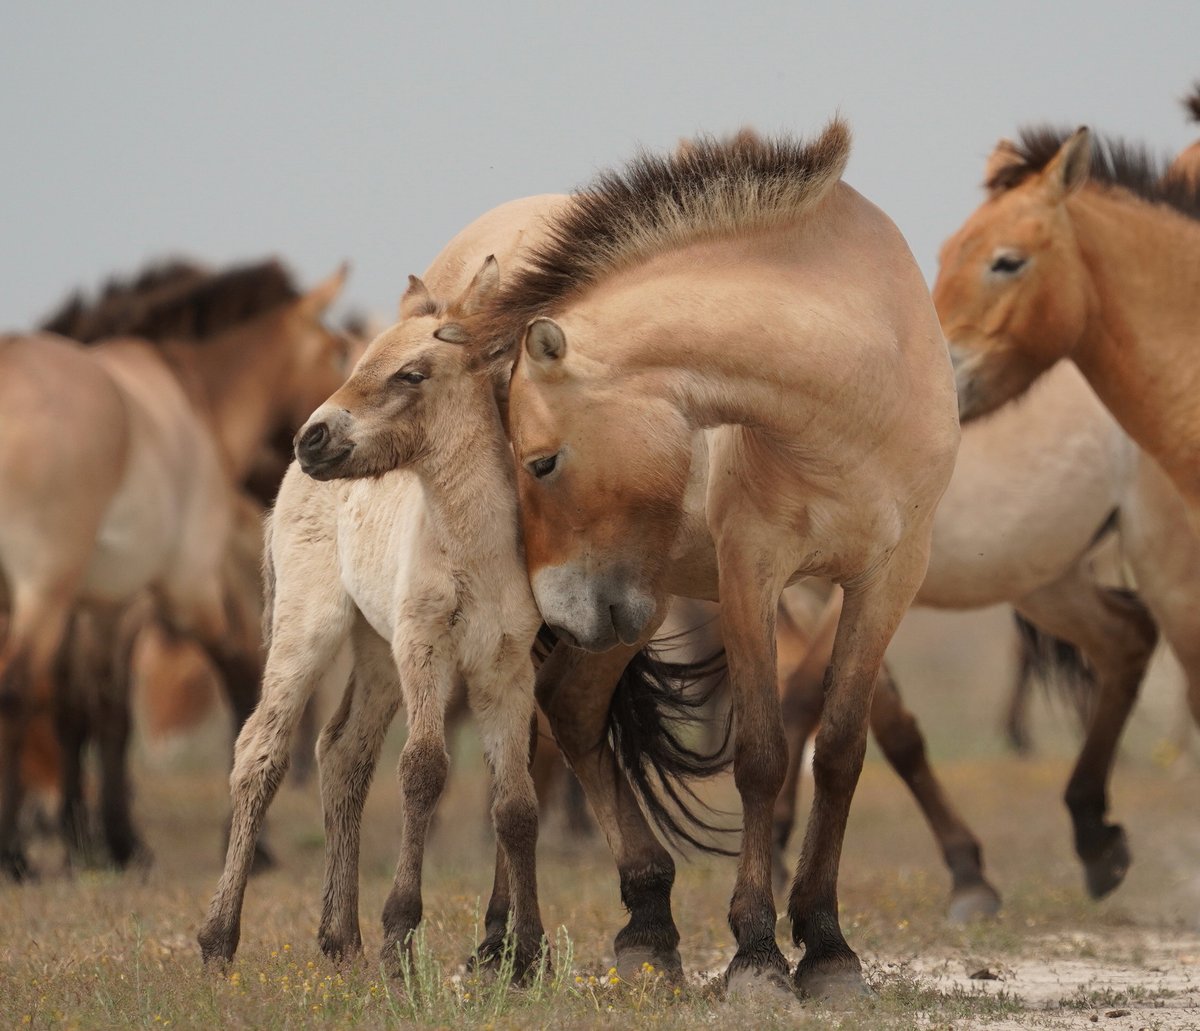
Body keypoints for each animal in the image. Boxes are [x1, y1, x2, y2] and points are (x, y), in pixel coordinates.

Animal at [199, 258, 551, 972]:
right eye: (358, 360)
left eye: (411, 374)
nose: (312, 438)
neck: (473, 551)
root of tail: (287, 483)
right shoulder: (424, 647)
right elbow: (423, 771)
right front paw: (399, 935)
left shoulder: (506, 667)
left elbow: (517, 804)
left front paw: (525, 956)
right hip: (310, 630)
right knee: (260, 754)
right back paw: (220, 939)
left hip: (375, 652)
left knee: (343, 754)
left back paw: (340, 940)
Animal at [481, 121, 960, 999]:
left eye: (540, 461)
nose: (554, 601)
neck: (853, 391)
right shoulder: (751, 574)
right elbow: (763, 756)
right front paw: (758, 952)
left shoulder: (888, 579)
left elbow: (841, 751)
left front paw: (828, 945)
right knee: (520, 739)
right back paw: (500, 945)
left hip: (638, 605)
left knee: (569, 709)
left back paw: (645, 926)